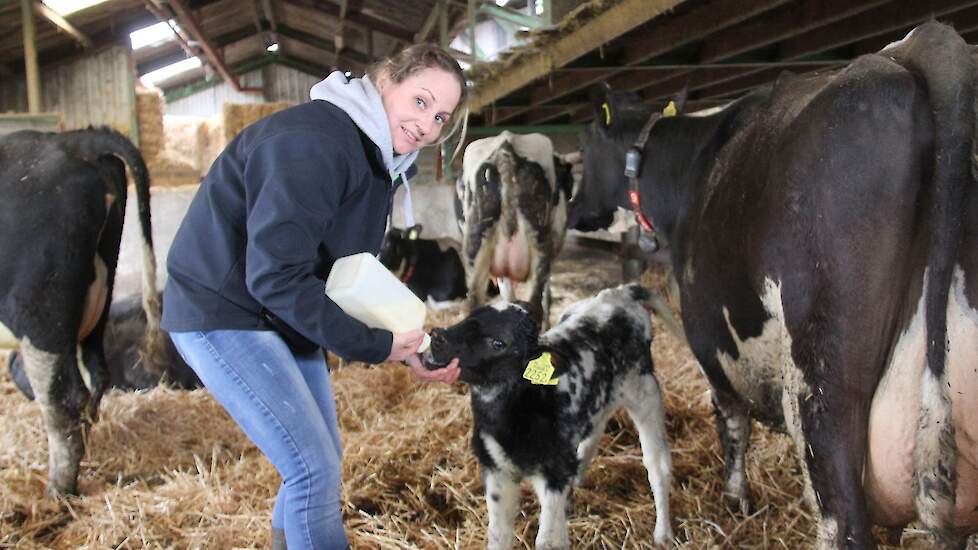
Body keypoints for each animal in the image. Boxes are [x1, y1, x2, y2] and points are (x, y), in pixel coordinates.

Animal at [0, 127, 162, 498]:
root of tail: (75, 140)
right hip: (97, 299)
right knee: (96, 375)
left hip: (40, 313)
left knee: (64, 400)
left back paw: (58, 489)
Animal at [424, 286, 676, 548]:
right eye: (466, 319)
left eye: (498, 343)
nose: (438, 336)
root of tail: (619, 294)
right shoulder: (496, 470)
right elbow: (498, 536)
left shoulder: (553, 473)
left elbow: (545, 539)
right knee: (593, 434)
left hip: (645, 393)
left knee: (657, 465)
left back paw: (663, 533)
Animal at [576, 20, 976, 548]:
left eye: (583, 149)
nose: (575, 207)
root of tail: (926, 41)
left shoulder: (708, 334)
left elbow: (731, 419)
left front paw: (735, 500)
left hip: (821, 374)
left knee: (844, 519)